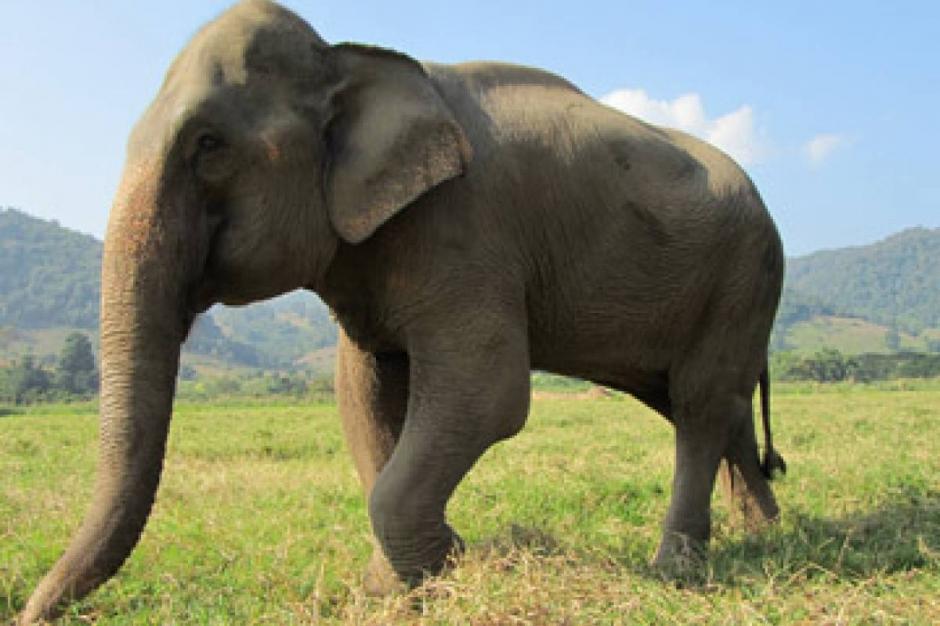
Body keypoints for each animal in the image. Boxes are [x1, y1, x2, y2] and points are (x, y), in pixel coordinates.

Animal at [18, 0, 786, 622]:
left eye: (208, 145)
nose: (29, 613)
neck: (350, 60)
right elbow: (364, 393)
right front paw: (395, 588)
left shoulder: (465, 230)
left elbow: (488, 391)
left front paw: (442, 564)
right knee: (709, 406)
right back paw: (766, 535)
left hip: (746, 276)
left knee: (698, 406)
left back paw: (678, 568)